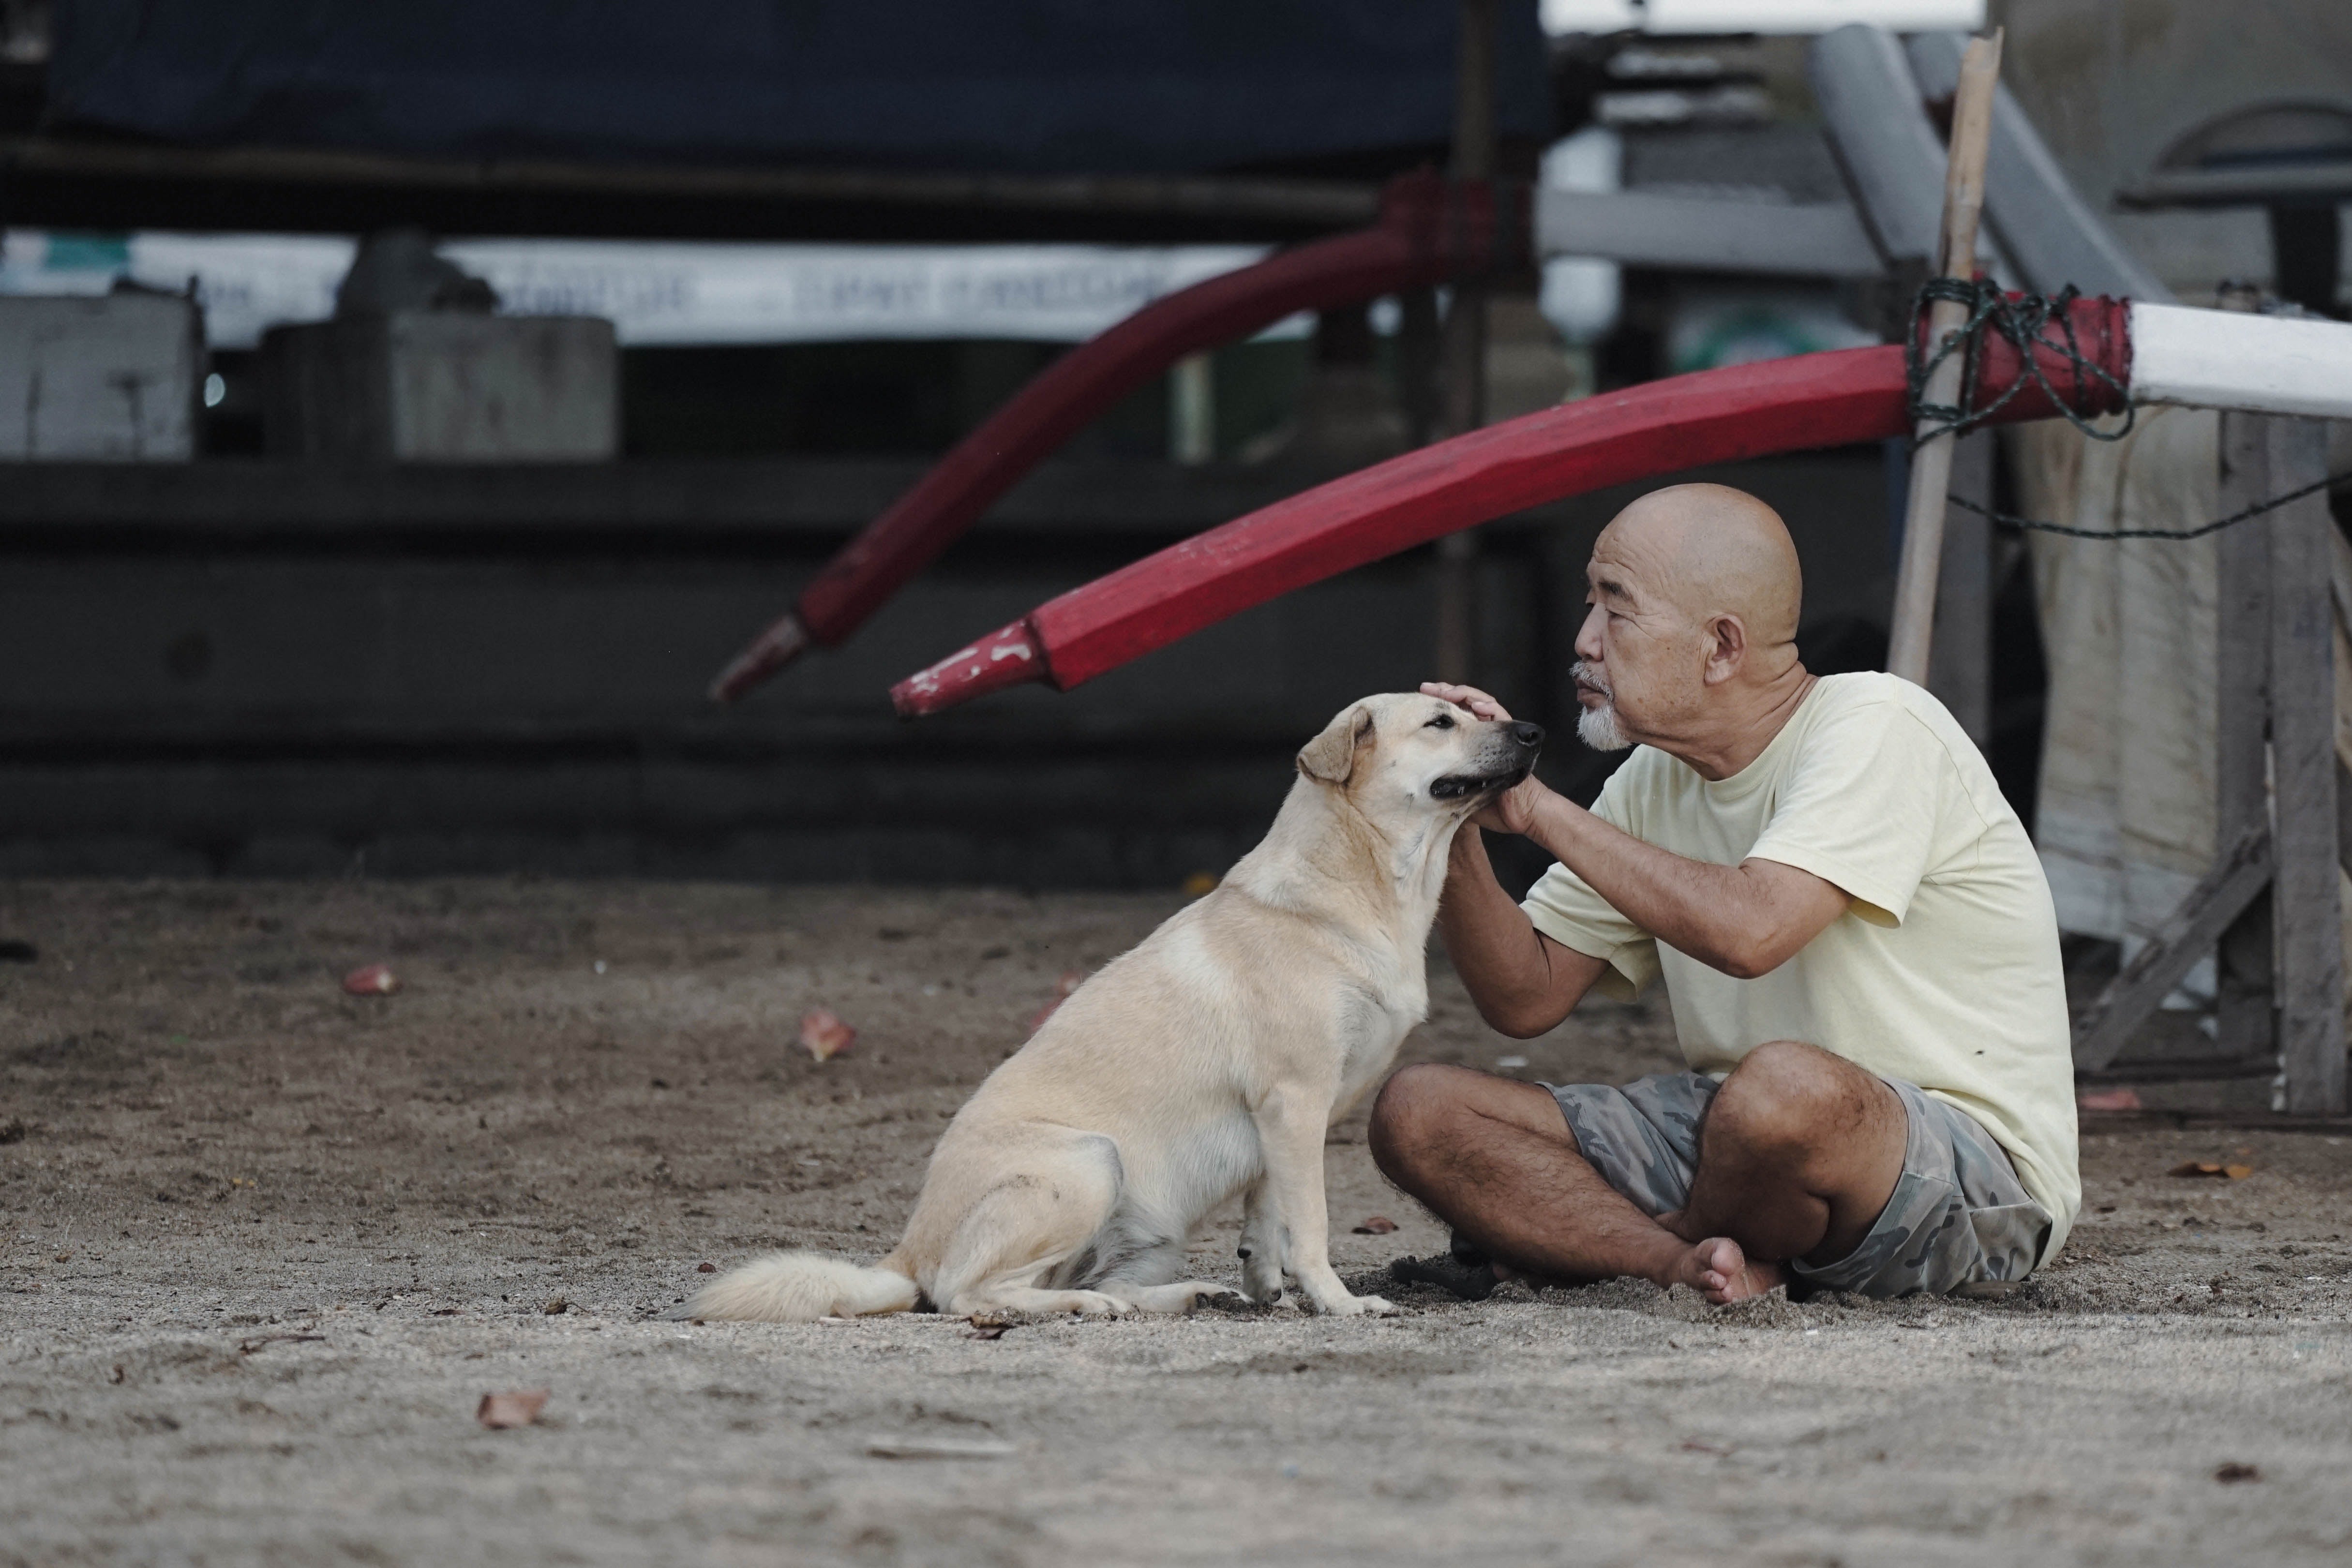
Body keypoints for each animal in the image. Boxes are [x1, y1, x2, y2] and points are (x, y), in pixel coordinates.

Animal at [673, 691, 1543, 1316]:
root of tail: (907, 1249)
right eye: (1441, 721)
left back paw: (1184, 1295)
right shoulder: (1296, 1105)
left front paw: (1266, 1289)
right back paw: (1083, 1309)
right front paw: (1336, 1302)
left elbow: (1266, 1219)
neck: (1355, 887)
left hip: (1141, 1222)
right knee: (966, 1295)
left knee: (1091, 1280)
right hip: (1090, 1161)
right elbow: (1312, 1226)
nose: (1534, 729)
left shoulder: (1281, 1123)